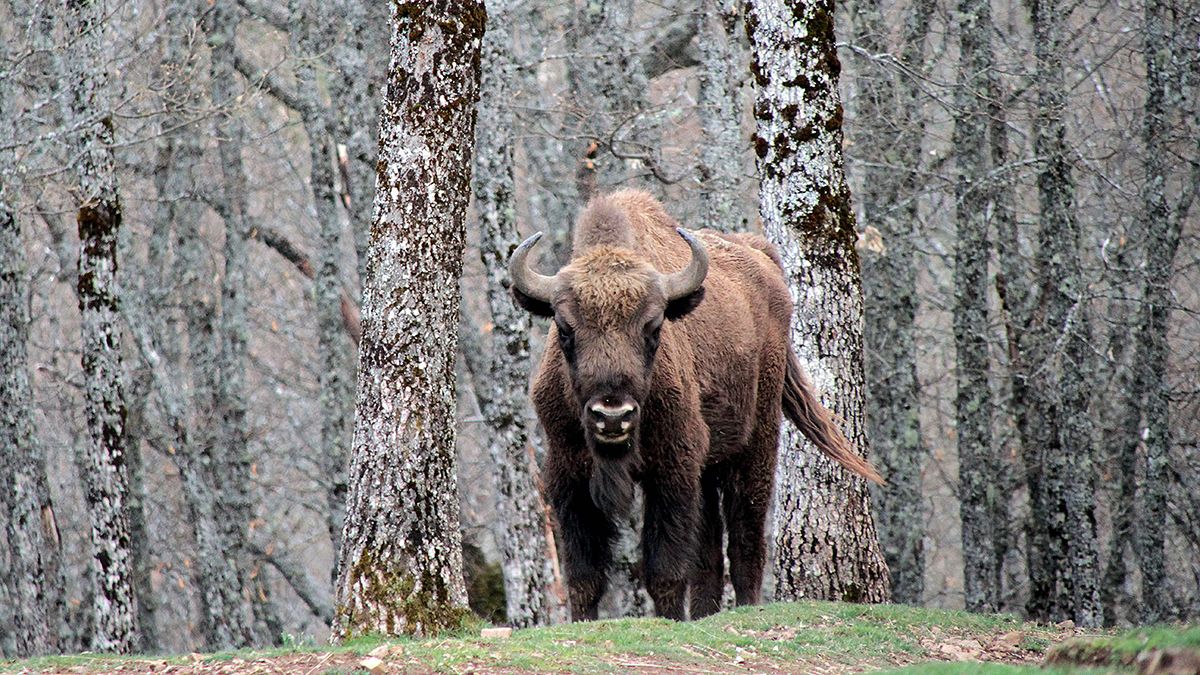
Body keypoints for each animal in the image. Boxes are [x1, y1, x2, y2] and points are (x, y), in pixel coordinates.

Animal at [506, 189, 883, 619]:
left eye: (654, 328)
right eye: (565, 328)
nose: (612, 416)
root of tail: (764, 262)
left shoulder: (673, 468)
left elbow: (665, 568)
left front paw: (670, 618)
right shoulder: (568, 473)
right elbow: (585, 576)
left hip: (756, 442)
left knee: (745, 535)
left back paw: (746, 605)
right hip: (709, 463)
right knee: (710, 549)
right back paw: (705, 611)